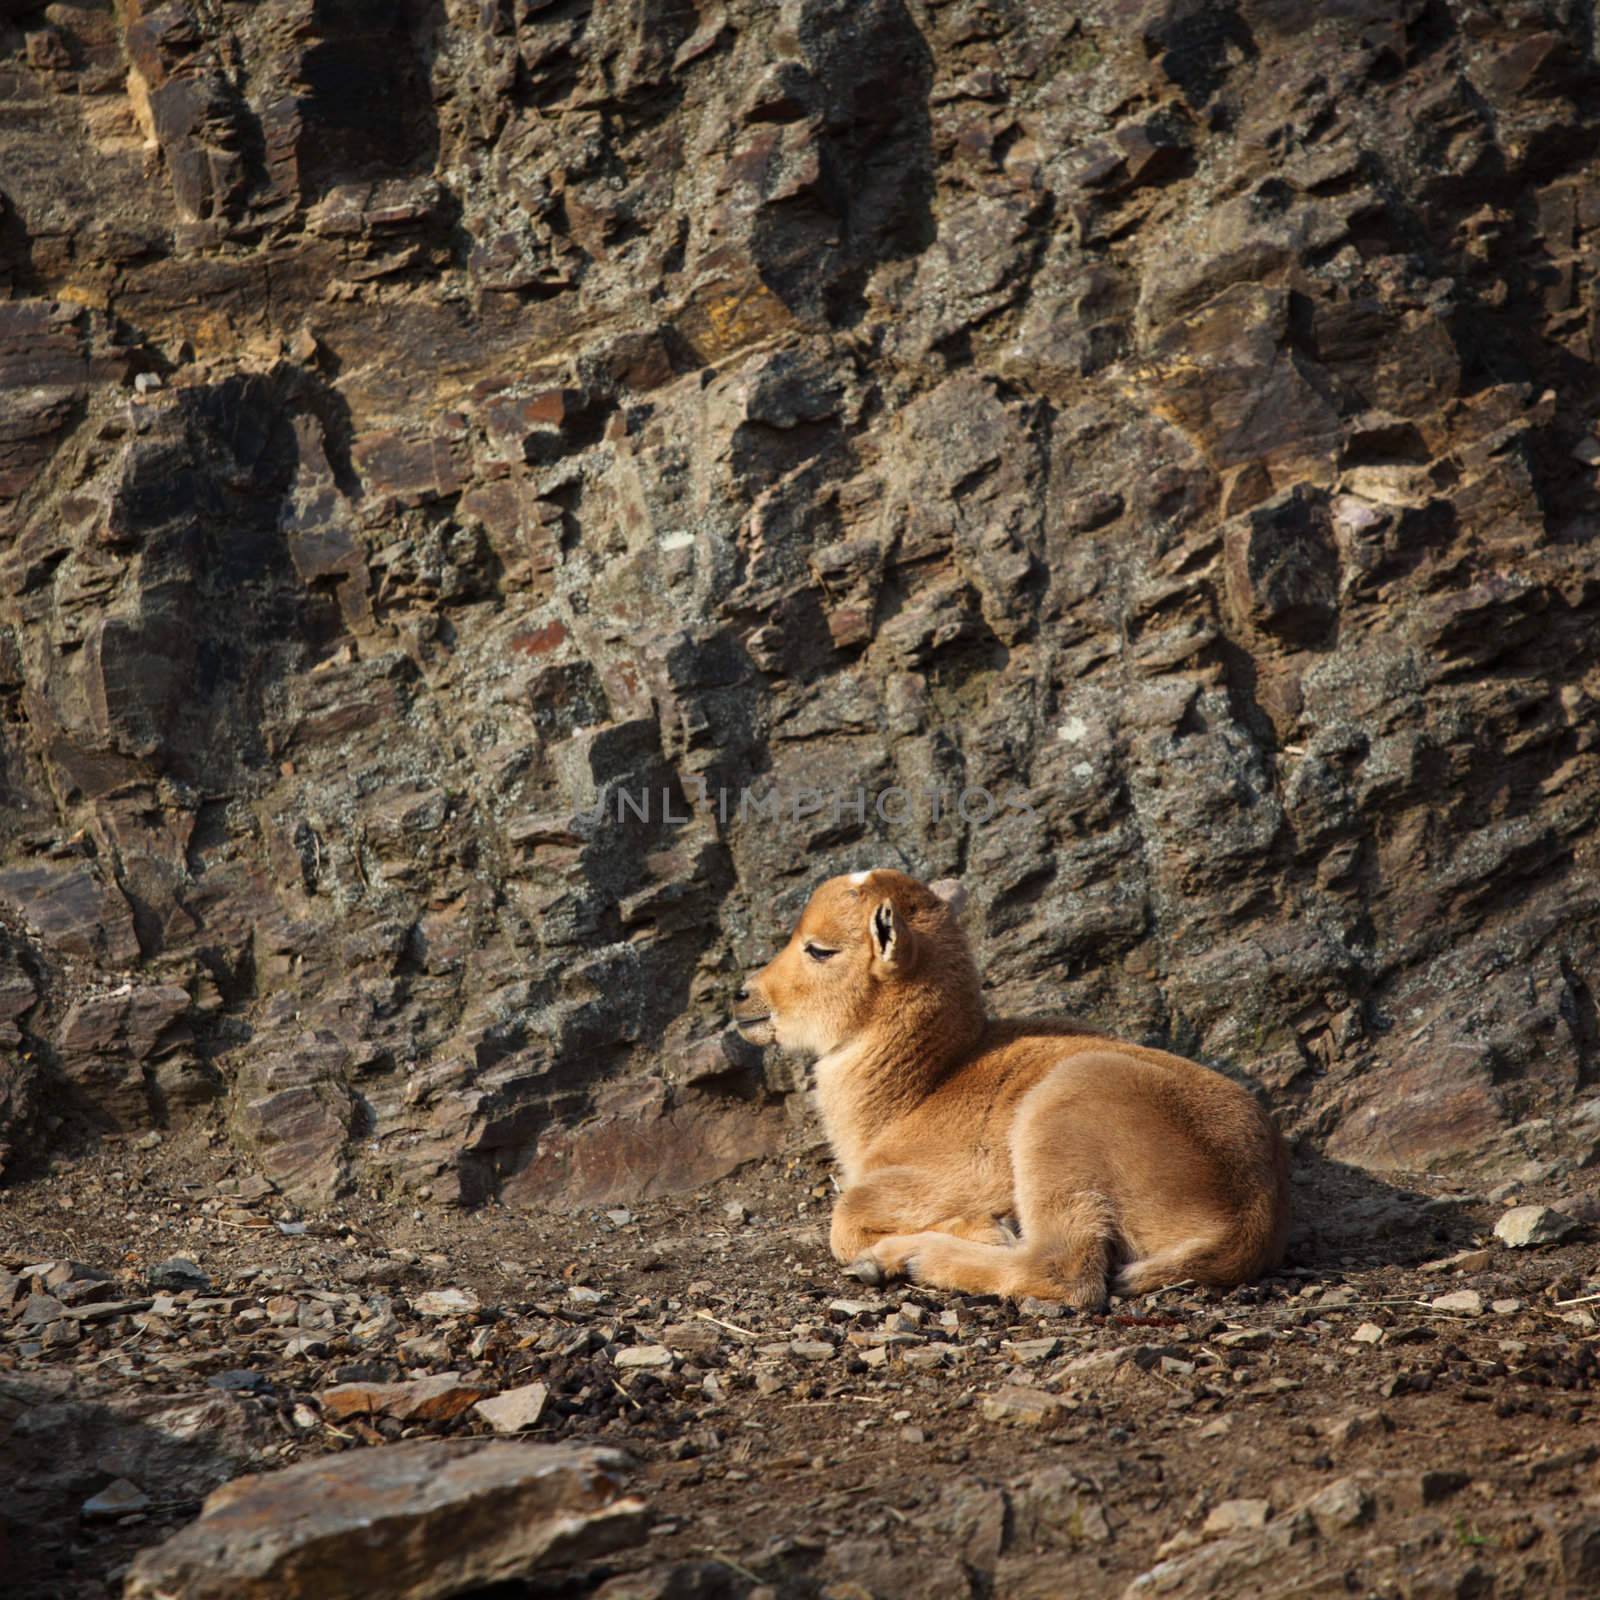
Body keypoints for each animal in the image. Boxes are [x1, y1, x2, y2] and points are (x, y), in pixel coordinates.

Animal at [732, 870, 1286, 1305]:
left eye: (820, 949)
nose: (742, 995)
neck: (919, 1089)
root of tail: (1251, 1215)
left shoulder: (951, 1177)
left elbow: (845, 1216)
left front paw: (986, 1229)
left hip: (1060, 1128)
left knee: (1066, 1271)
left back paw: (906, 1258)